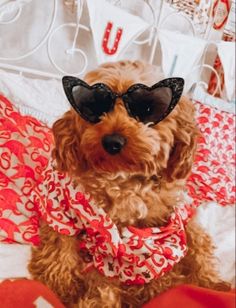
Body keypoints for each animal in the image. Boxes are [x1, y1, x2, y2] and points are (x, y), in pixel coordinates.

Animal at [27, 61, 229, 306]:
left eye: (148, 109)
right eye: (94, 106)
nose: (112, 142)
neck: (123, 181)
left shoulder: (175, 217)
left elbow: (196, 248)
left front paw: (208, 284)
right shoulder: (61, 208)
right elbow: (61, 247)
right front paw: (60, 288)